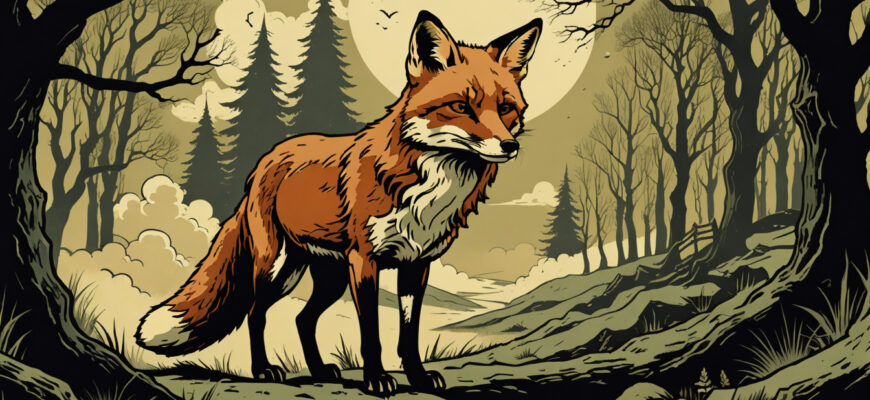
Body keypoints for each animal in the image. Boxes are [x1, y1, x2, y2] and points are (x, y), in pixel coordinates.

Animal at [135, 10, 542, 396]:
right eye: (460, 106)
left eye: (506, 108)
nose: (509, 146)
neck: (431, 189)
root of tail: (265, 160)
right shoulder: (365, 261)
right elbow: (371, 334)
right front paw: (377, 380)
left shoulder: (417, 264)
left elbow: (409, 336)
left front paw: (419, 378)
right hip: (277, 268)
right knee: (255, 312)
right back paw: (263, 369)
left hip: (326, 277)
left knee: (302, 319)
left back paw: (318, 370)